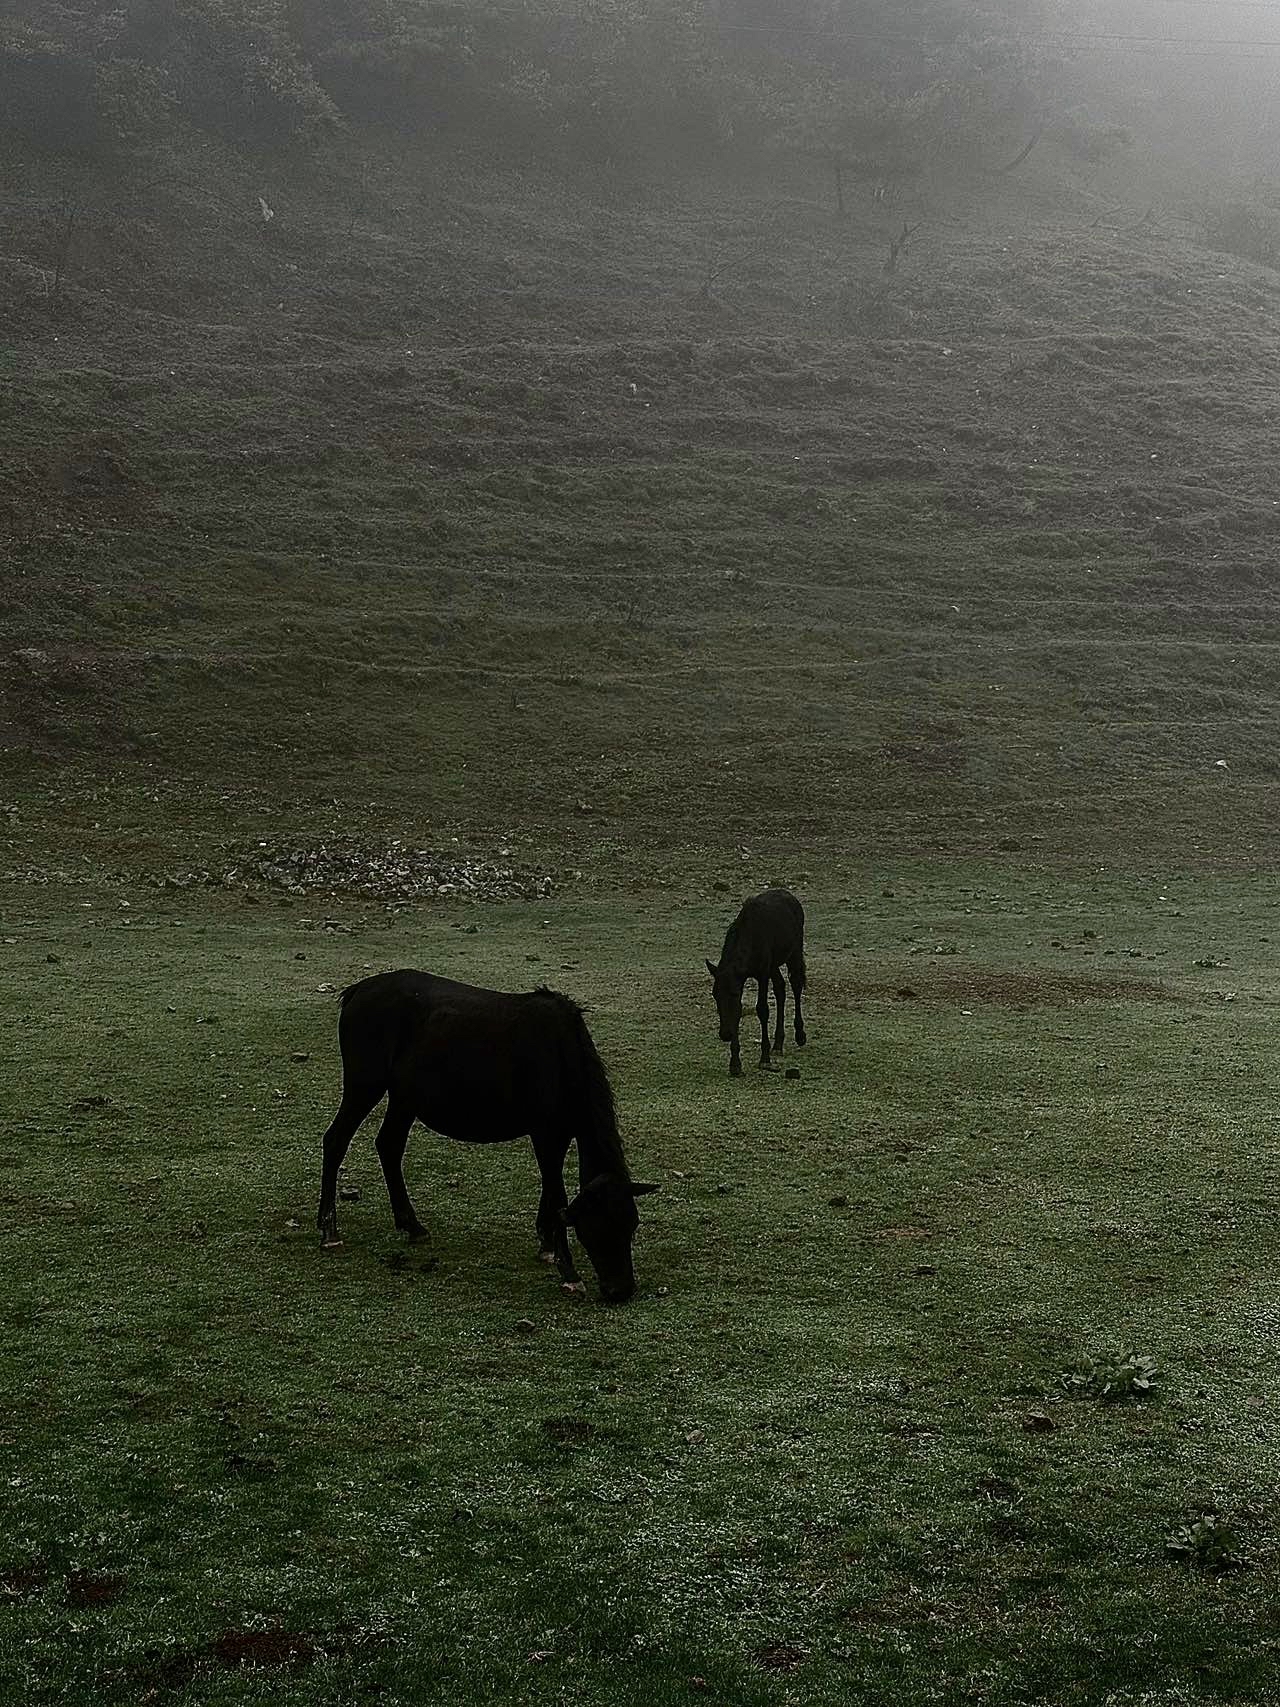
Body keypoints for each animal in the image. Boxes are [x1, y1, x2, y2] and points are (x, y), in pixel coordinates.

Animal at [319, 969, 662, 1297]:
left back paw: (412, 1225)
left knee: (389, 1145)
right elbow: (557, 1193)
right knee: (335, 1141)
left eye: (631, 1225)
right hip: (365, 1086)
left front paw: (546, 1243)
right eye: (596, 1229)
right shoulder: (545, 1133)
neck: (562, 1057)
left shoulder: (560, 1134)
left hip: (404, 1098)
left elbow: (550, 1188)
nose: (621, 1290)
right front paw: (568, 1272)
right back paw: (329, 1230)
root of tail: (358, 990)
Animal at [706, 887, 805, 1071]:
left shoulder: (762, 974)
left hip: (794, 952)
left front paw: (764, 1057)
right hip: (774, 964)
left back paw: (800, 1035)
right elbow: (738, 1011)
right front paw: (735, 1064)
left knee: (796, 984)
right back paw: (778, 1044)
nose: (725, 1034)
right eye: (715, 995)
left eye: (733, 993)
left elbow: (762, 1009)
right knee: (780, 988)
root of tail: (791, 896)